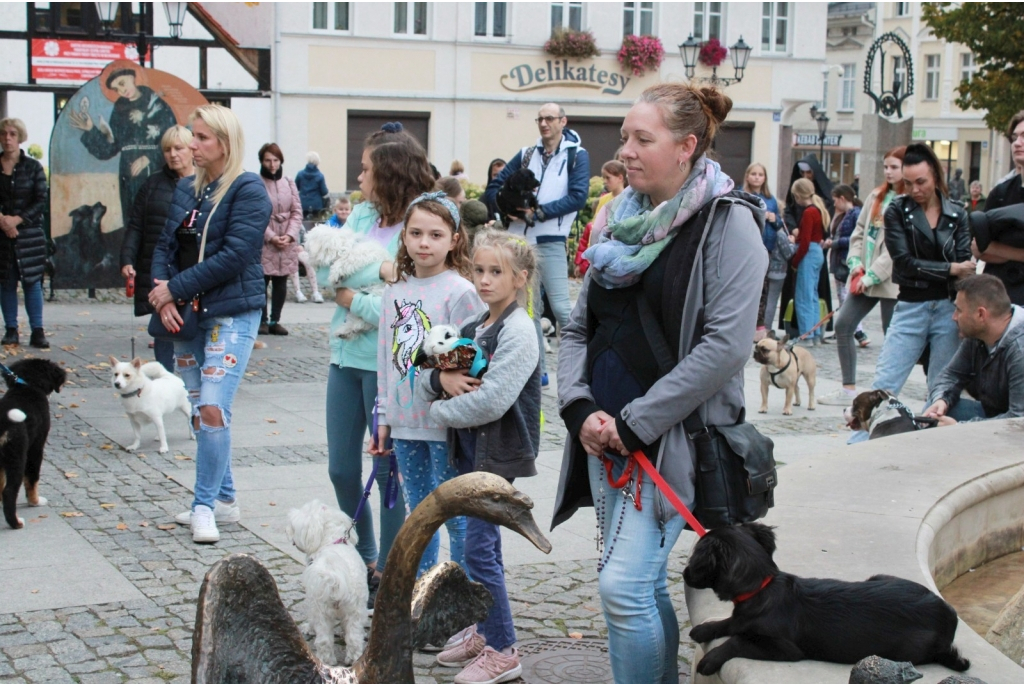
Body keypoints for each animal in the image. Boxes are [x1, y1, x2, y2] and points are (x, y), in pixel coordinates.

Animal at [0, 358, 65, 528]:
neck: (29, 386)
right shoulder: (36, 448)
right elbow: (32, 478)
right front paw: (35, 501)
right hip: (17, 457)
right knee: (10, 491)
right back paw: (16, 523)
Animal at [286, 499, 370, 663]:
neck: (332, 541)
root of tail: (335, 578)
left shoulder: (312, 600)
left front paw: (308, 628)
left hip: (321, 609)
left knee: (324, 640)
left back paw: (326, 661)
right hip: (355, 608)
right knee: (354, 638)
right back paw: (353, 659)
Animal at [684, 524, 970, 671]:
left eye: (694, 560)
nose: (685, 574)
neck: (762, 587)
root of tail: (948, 613)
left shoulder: (785, 648)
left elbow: (737, 641)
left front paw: (711, 659)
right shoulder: (741, 617)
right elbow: (730, 622)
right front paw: (704, 629)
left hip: (903, 650)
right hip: (878, 577)